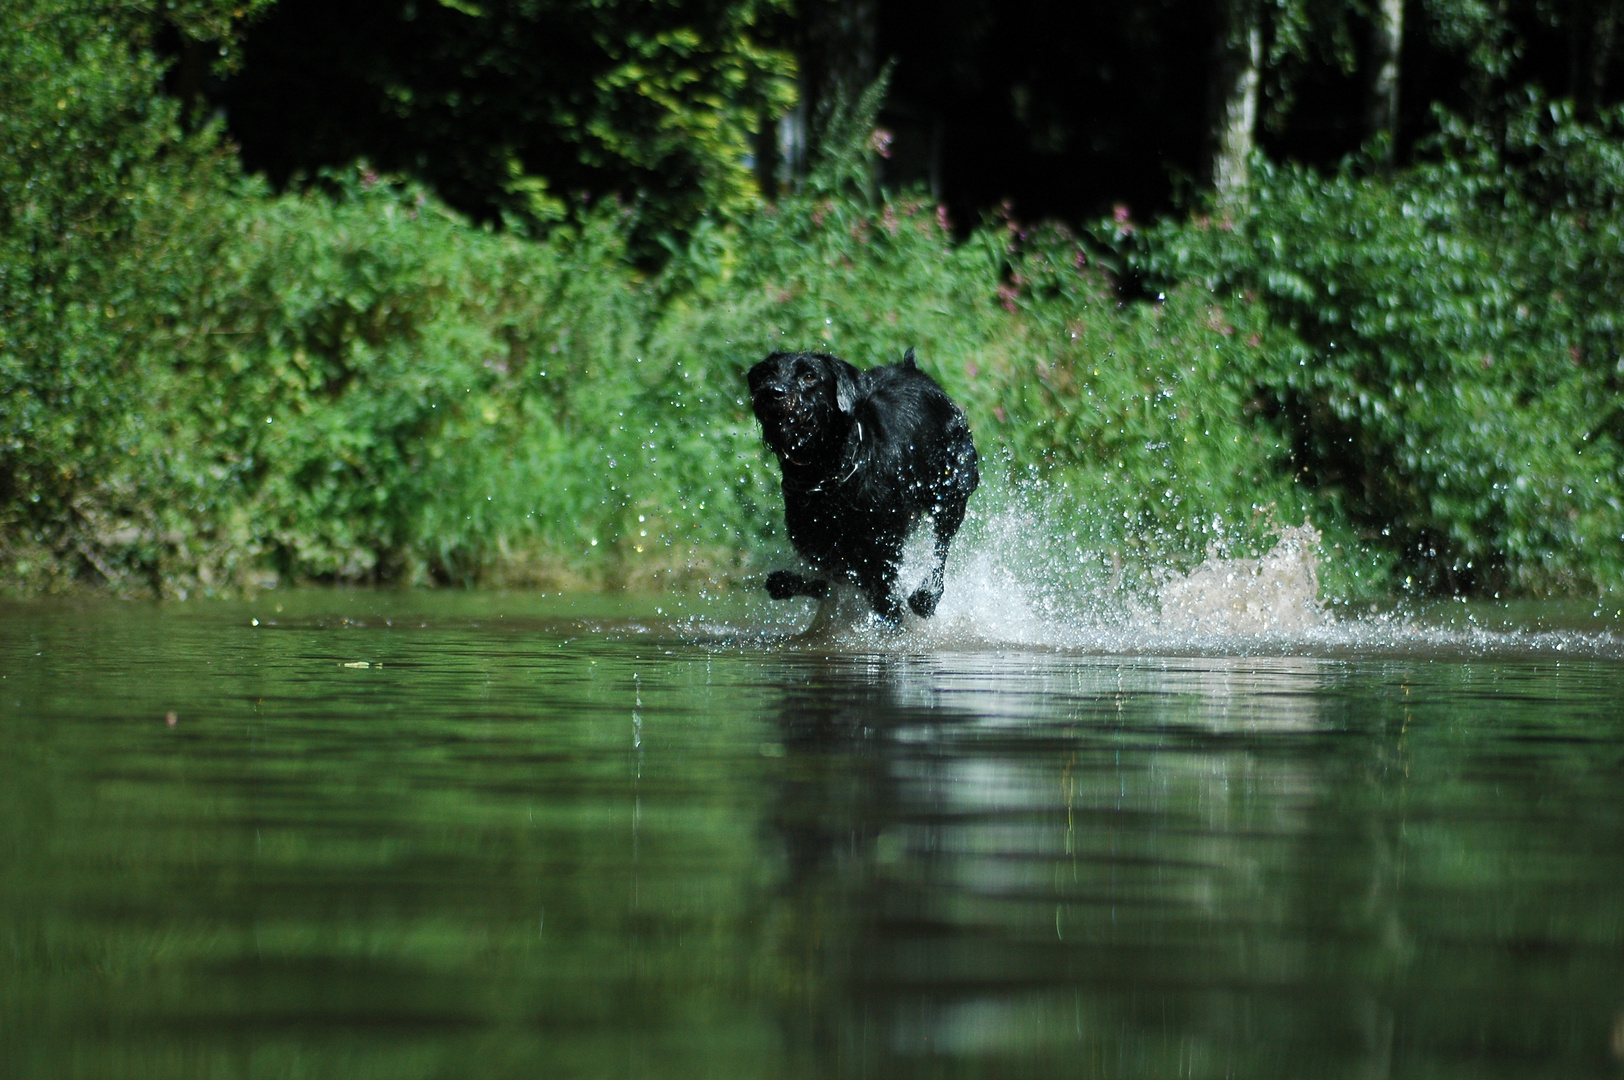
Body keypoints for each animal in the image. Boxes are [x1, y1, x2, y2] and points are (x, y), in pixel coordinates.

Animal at [743, 345, 974, 613]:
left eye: (810, 376)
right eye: (768, 374)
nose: (773, 392)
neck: (826, 476)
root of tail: (914, 371)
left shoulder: (881, 545)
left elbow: (882, 591)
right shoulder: (818, 544)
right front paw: (789, 582)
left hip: (952, 489)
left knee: (941, 544)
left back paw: (927, 596)